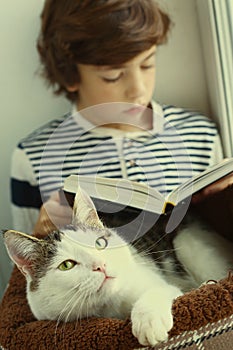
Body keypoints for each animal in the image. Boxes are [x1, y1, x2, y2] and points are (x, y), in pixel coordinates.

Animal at [3, 187, 233, 346]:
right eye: (67, 265)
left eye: (100, 243)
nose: (100, 265)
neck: (111, 307)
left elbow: (159, 291)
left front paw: (148, 322)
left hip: (188, 244)